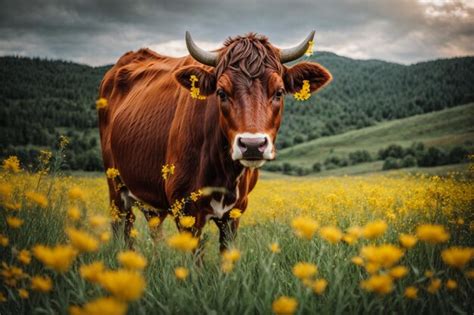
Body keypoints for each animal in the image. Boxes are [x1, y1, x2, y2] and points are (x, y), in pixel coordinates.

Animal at [98, 31, 332, 254]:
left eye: (279, 92)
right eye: (221, 92)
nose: (252, 145)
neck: (223, 172)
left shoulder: (234, 213)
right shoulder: (186, 211)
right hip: (115, 189)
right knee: (123, 228)